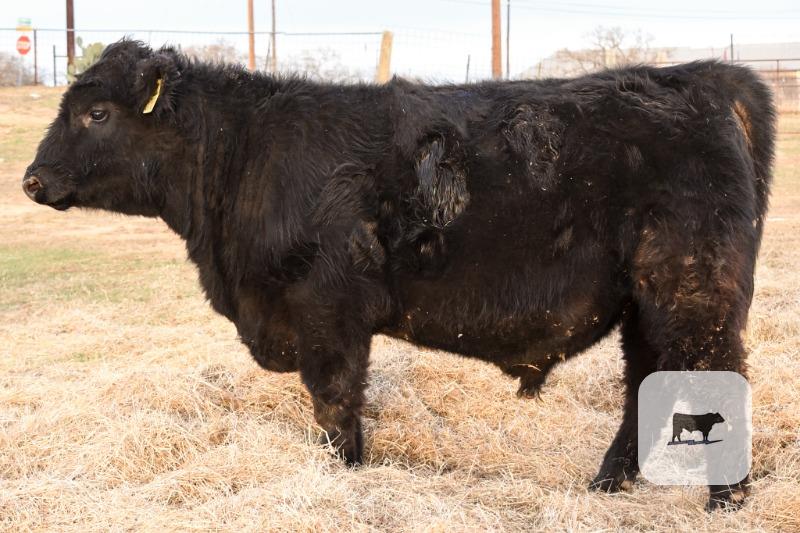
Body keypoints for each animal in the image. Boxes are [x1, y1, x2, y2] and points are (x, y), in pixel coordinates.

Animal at [22, 40, 774, 511]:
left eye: (96, 113)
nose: (32, 179)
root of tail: (705, 78)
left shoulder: (327, 311)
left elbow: (334, 404)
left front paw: (343, 476)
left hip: (693, 293)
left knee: (713, 375)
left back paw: (724, 502)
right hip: (645, 305)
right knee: (649, 383)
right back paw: (607, 485)